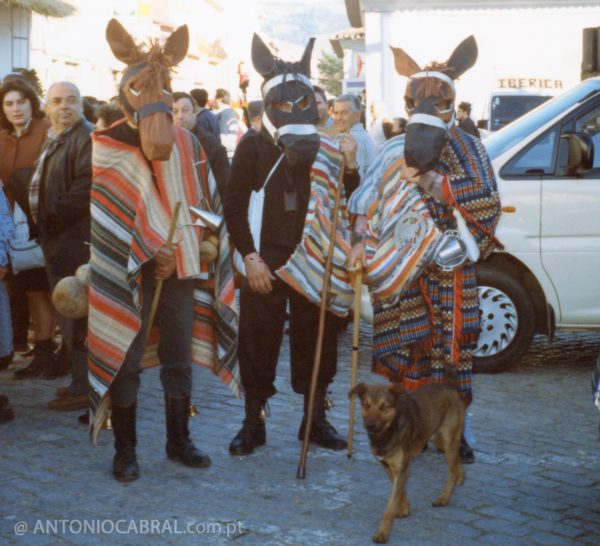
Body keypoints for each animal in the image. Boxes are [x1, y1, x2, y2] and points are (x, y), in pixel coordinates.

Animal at [350, 378, 466, 540]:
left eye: (384, 406)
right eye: (365, 405)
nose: (370, 426)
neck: (388, 432)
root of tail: (449, 386)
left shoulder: (400, 468)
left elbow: (390, 505)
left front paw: (383, 533)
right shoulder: (389, 467)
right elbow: (401, 491)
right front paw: (404, 508)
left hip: (449, 440)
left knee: (453, 470)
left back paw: (443, 498)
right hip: (439, 439)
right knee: (457, 462)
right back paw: (461, 478)